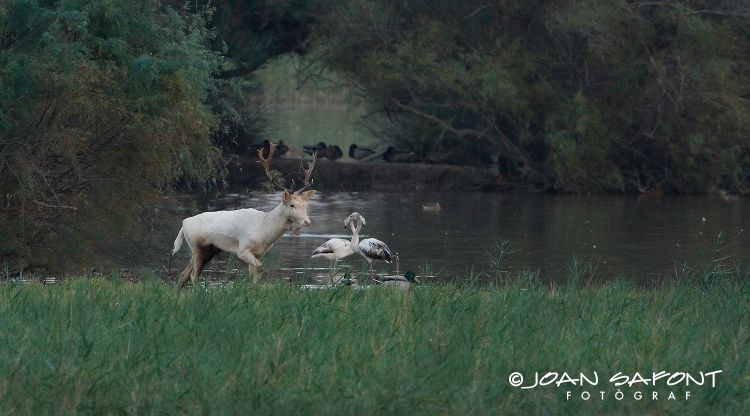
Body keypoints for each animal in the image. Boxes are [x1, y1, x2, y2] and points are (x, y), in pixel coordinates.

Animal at [173, 141, 318, 288]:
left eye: (305, 205)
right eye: (292, 205)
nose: (307, 221)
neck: (264, 232)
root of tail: (183, 224)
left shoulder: (259, 252)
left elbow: (255, 274)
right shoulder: (243, 249)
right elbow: (260, 268)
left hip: (208, 250)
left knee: (184, 274)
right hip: (196, 246)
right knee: (193, 275)